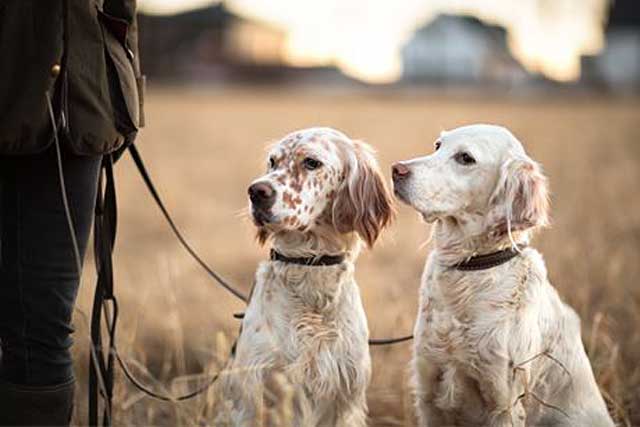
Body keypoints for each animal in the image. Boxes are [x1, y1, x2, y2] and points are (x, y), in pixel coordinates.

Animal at [392, 124, 612, 427]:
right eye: (437, 145)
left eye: (465, 158)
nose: (396, 169)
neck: (470, 269)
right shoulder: (428, 392)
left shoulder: (504, 403)